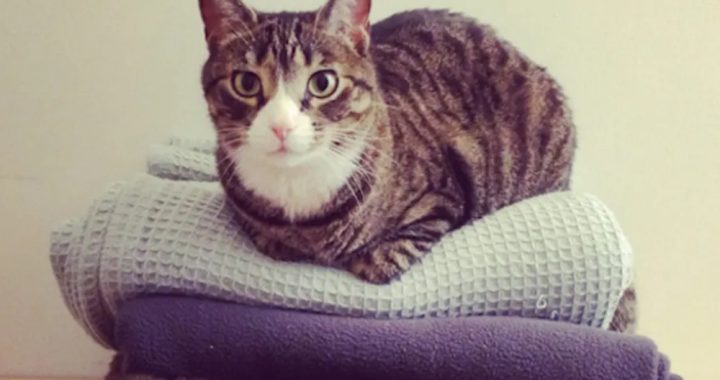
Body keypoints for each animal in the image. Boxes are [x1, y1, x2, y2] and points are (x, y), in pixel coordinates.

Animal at [200, 0, 576, 284]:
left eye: (322, 82)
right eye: (246, 83)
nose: (281, 126)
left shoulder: (441, 195)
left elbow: (380, 260)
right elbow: (271, 242)